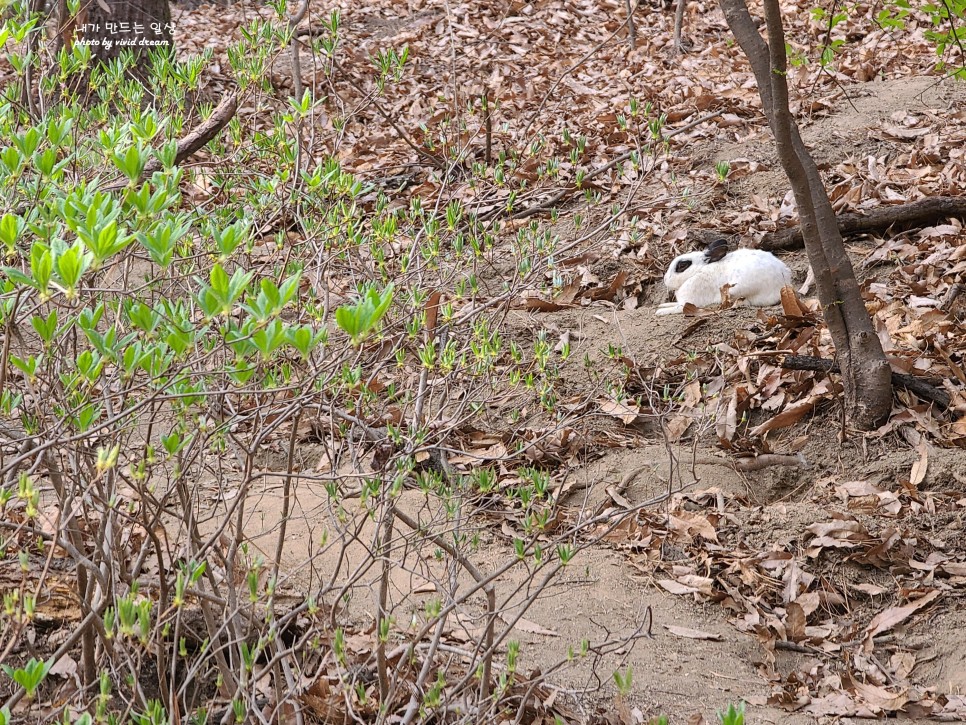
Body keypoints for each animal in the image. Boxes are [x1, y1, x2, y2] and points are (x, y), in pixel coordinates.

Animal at [656, 240, 796, 314]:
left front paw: (660, 312)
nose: (665, 279)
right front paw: (662, 305)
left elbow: (675, 308)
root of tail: (785, 281)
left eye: (682, 265)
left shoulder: (688, 303)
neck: (696, 272)